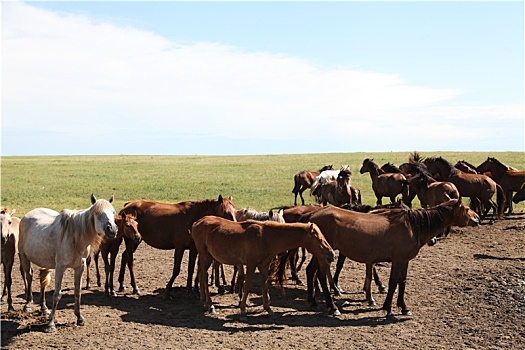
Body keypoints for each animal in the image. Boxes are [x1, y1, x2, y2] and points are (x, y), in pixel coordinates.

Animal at [18, 196, 117, 332]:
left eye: (113, 212)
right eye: (97, 214)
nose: (112, 229)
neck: (75, 237)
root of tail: (26, 216)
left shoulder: (80, 267)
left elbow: (77, 292)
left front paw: (79, 318)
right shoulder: (60, 267)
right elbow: (57, 294)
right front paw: (51, 324)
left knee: (42, 280)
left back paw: (44, 308)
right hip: (24, 256)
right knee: (29, 277)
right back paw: (28, 304)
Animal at [190, 217, 334, 322]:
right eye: (319, 239)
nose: (331, 254)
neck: (265, 237)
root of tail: (197, 223)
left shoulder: (264, 266)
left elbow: (264, 285)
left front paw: (269, 309)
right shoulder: (251, 264)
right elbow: (247, 285)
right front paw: (243, 311)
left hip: (206, 257)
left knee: (201, 274)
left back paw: (204, 302)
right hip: (205, 256)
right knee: (204, 276)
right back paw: (210, 305)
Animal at [300, 200, 476, 320]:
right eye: (466, 209)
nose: (478, 217)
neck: (412, 226)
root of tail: (312, 216)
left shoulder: (405, 260)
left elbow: (402, 281)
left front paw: (403, 307)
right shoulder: (397, 259)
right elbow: (393, 283)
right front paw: (389, 309)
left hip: (320, 254)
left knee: (312, 272)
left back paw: (314, 301)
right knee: (320, 276)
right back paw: (332, 306)